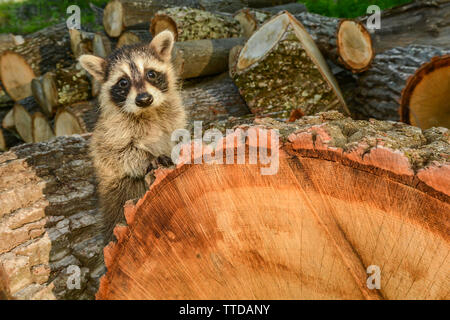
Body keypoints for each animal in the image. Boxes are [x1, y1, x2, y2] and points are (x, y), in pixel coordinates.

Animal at [79, 31, 186, 244]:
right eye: (123, 82)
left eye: (151, 74)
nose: (144, 99)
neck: (148, 112)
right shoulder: (110, 130)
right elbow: (116, 152)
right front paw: (147, 157)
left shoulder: (174, 115)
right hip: (118, 191)